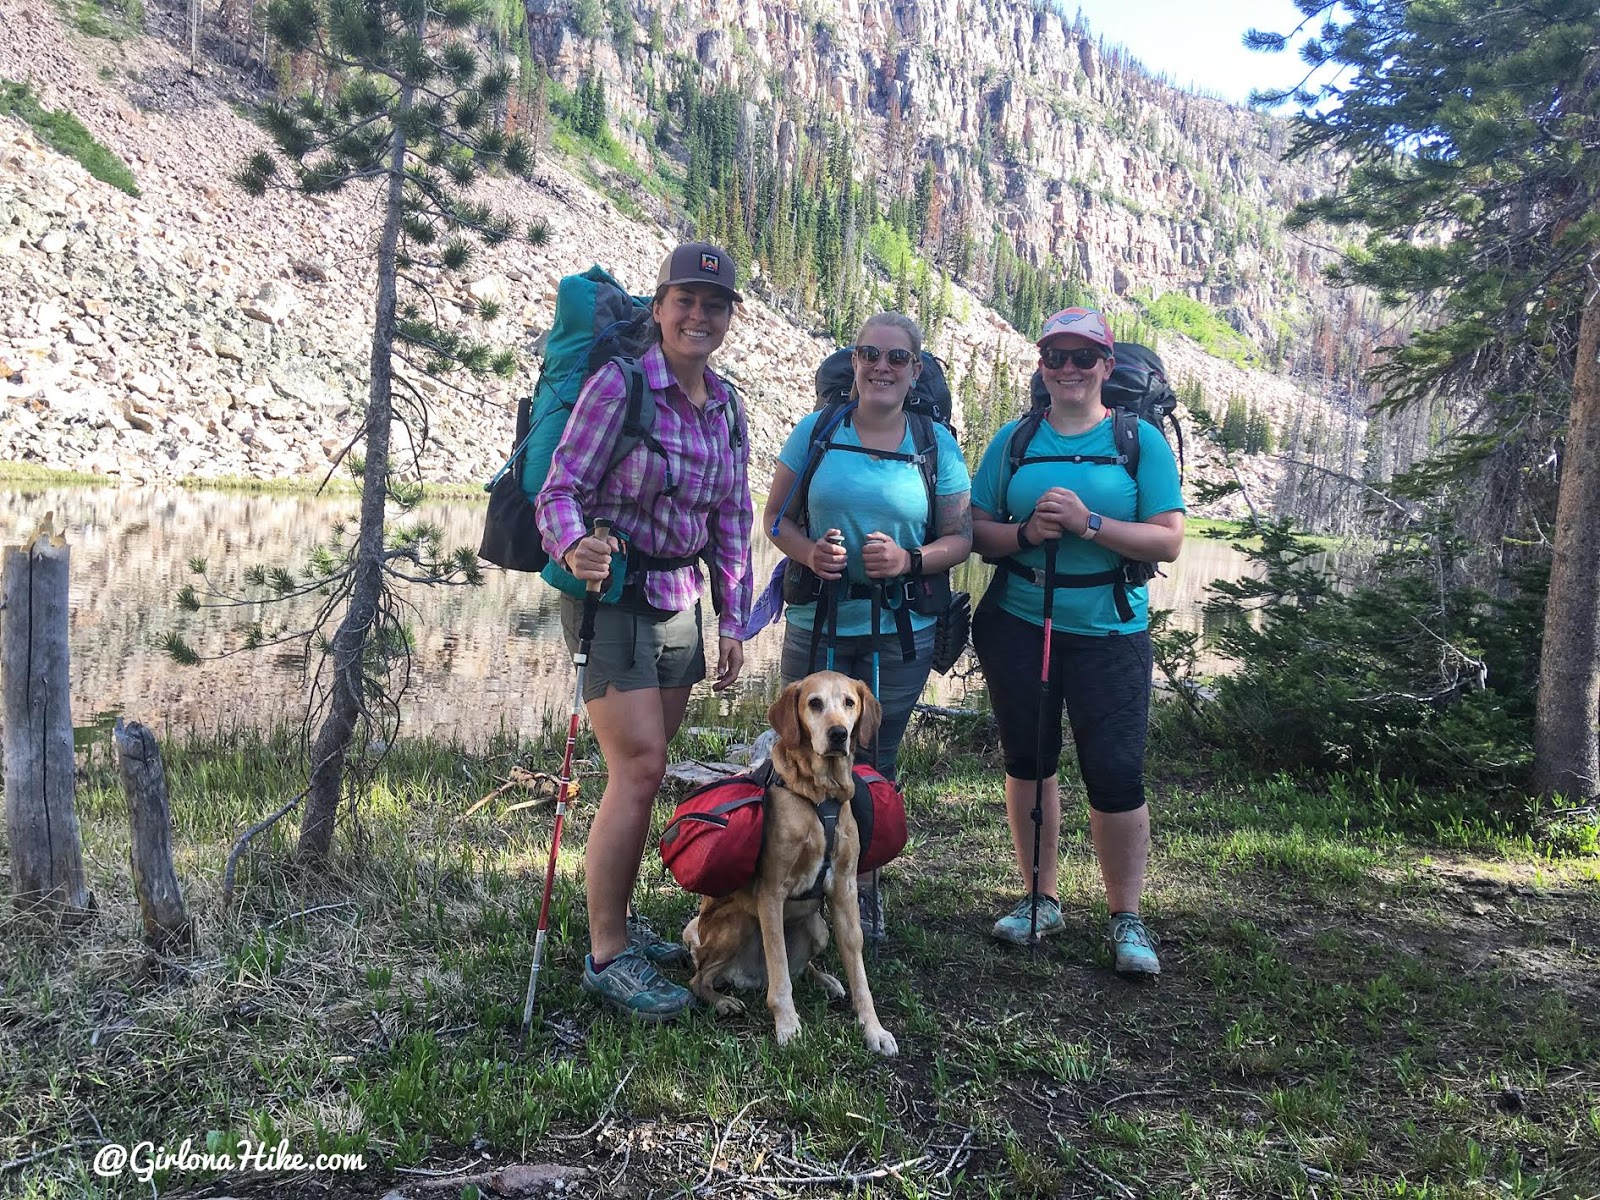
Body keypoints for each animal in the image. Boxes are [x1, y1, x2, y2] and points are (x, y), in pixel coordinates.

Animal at [678, 678, 902, 1062]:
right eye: (814, 703)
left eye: (849, 702)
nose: (839, 734)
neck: (820, 794)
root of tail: (750, 978)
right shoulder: (771, 892)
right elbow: (780, 973)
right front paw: (788, 1026)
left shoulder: (844, 888)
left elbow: (858, 973)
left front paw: (874, 1029)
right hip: (737, 925)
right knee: (700, 978)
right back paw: (722, 1001)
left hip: (818, 928)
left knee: (800, 967)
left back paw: (826, 980)